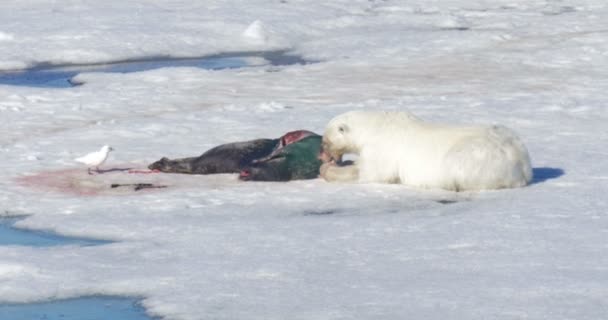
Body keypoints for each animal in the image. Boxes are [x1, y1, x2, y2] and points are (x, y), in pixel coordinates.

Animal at [318, 110, 532, 190]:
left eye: (325, 142)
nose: (323, 155)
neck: (375, 125)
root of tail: (522, 163)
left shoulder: (382, 149)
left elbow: (371, 174)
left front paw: (327, 170)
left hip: (476, 155)